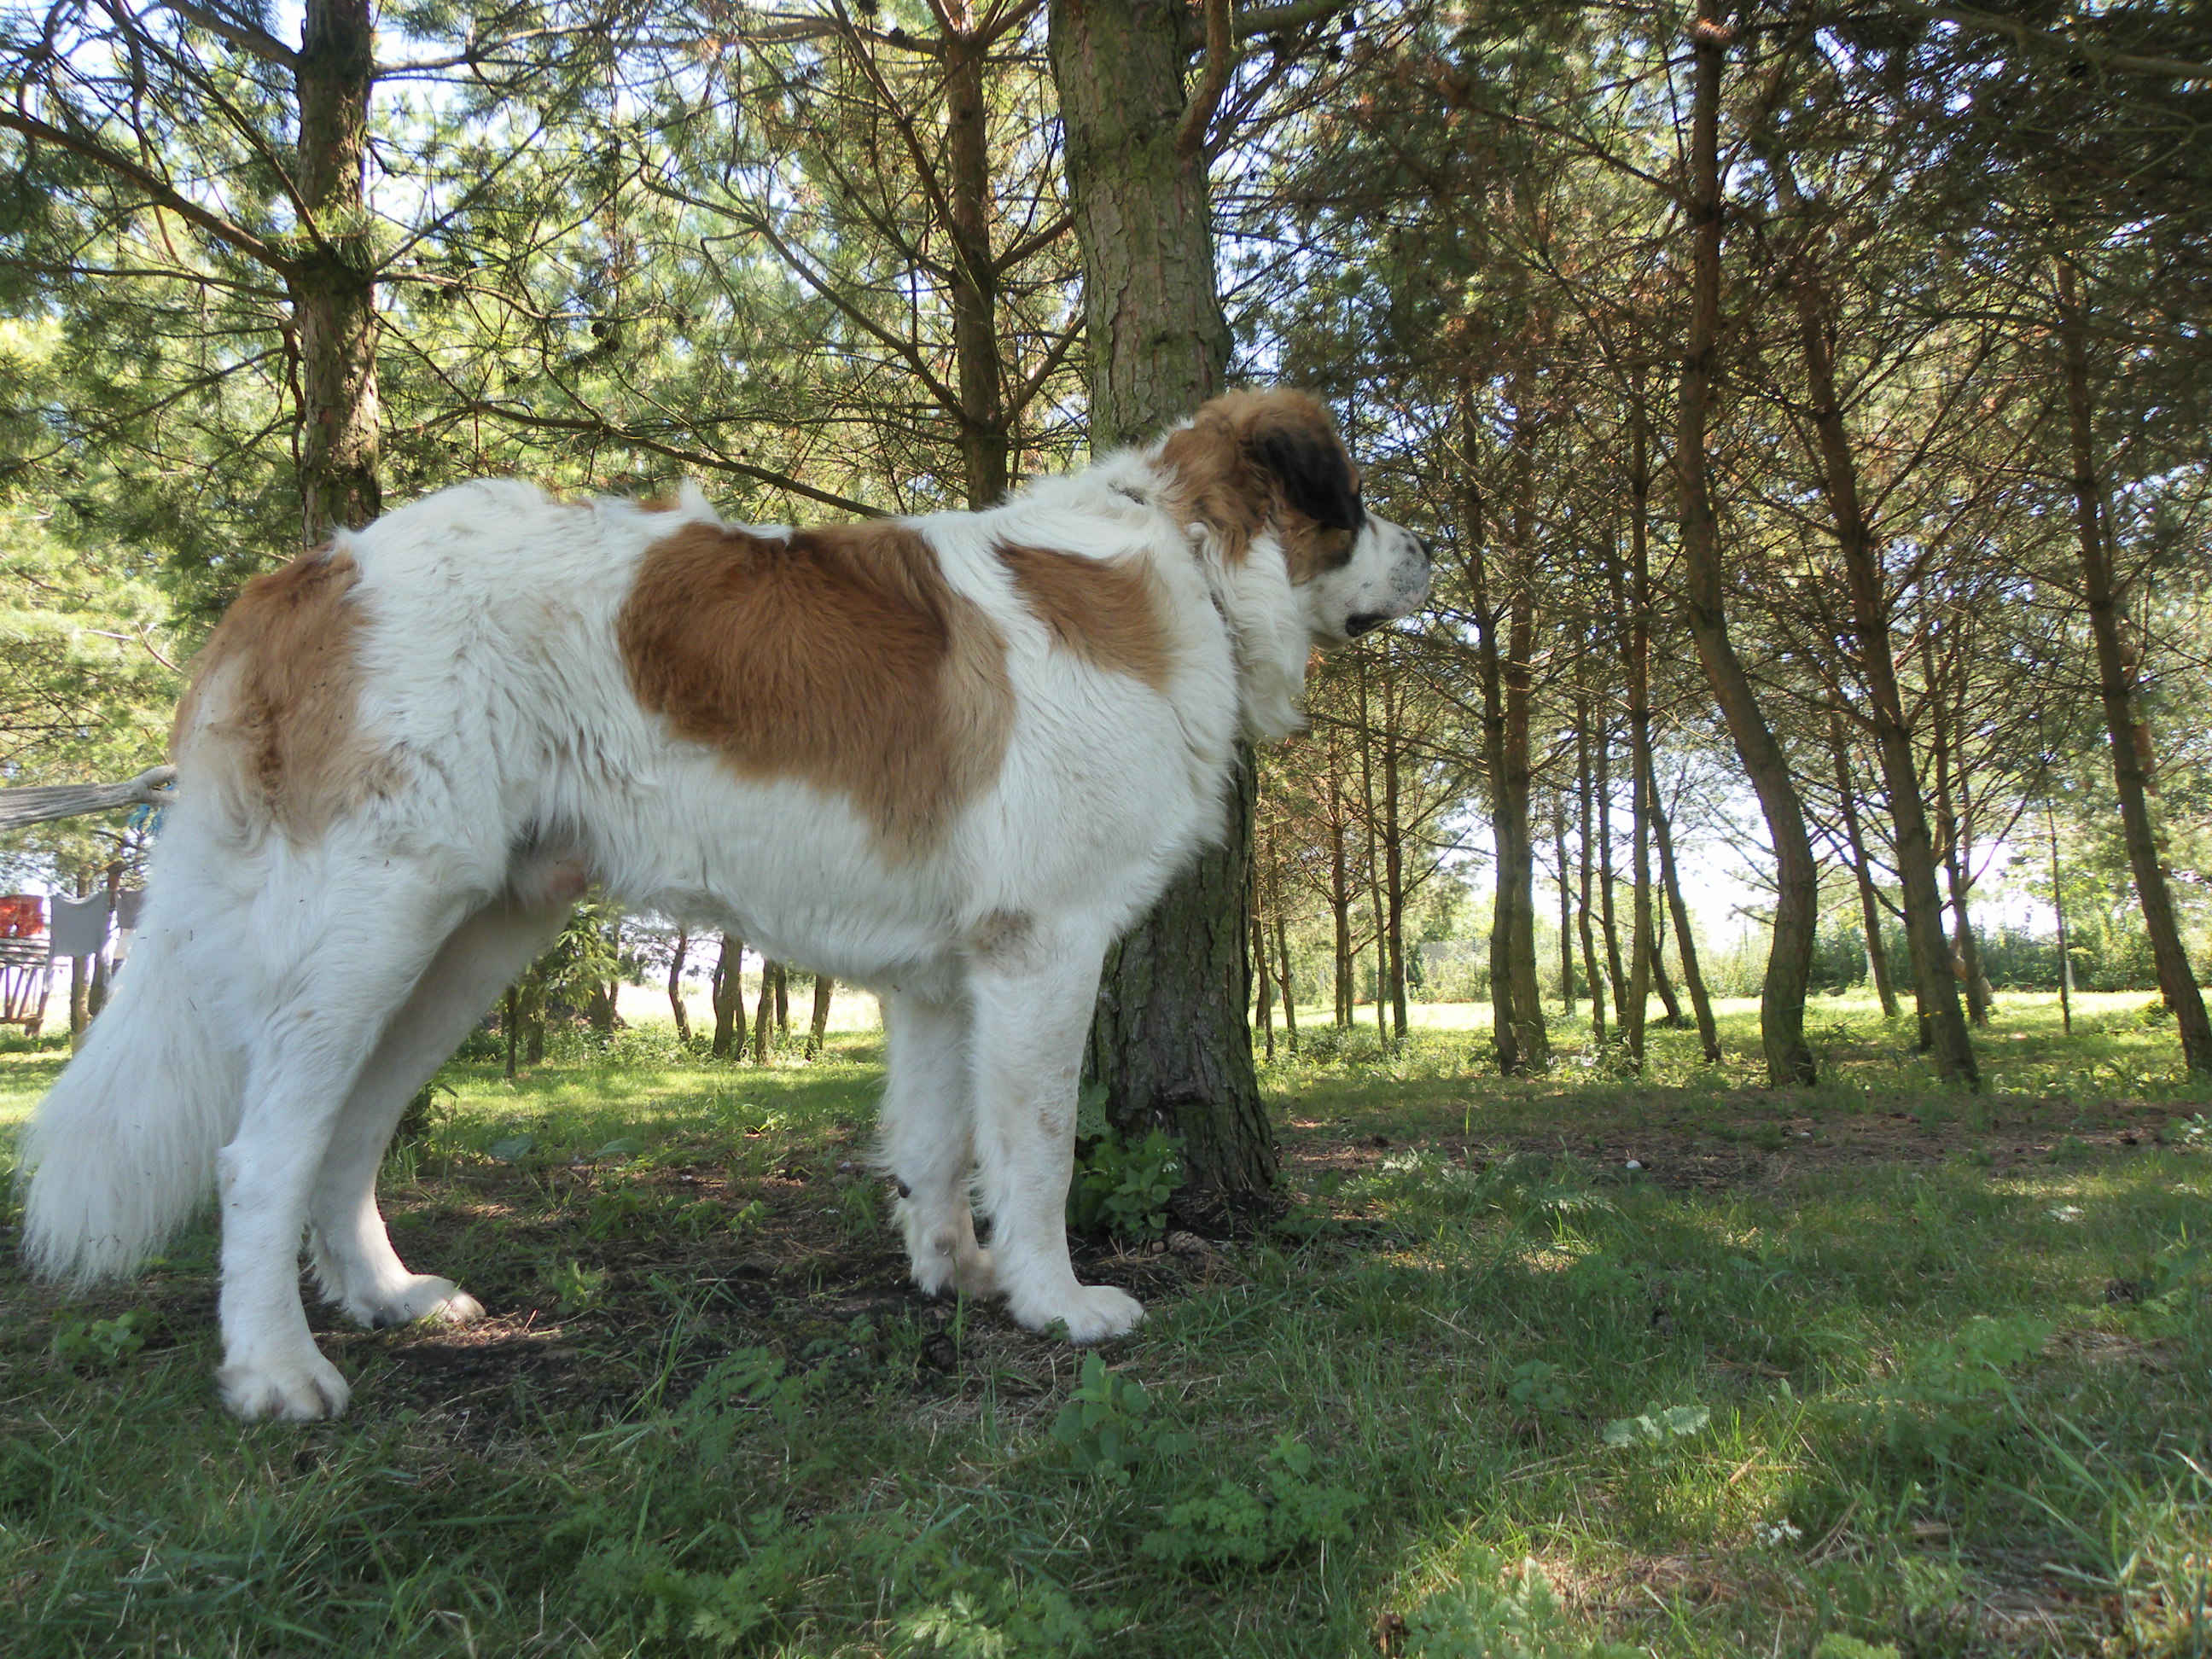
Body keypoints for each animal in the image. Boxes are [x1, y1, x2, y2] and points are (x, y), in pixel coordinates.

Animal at [21, 387, 1433, 1415]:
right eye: (1356, 503)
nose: (1426, 551)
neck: (1186, 562)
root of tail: (308, 573)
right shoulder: (1044, 950)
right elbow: (1031, 1149)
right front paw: (1056, 1302)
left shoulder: (950, 978)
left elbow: (937, 1145)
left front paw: (956, 1278)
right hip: (372, 926)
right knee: (264, 1151)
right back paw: (277, 1371)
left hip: (462, 943)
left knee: (349, 1131)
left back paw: (388, 1297)